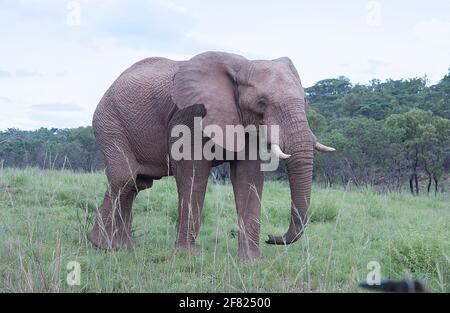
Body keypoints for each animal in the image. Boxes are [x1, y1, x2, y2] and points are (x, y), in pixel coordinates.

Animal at [88, 51, 334, 260]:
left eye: (305, 102)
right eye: (261, 103)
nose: (272, 238)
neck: (242, 65)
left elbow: (248, 178)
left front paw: (252, 261)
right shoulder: (191, 115)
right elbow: (193, 174)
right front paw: (187, 256)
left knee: (137, 185)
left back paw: (123, 248)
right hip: (109, 122)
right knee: (125, 178)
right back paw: (102, 245)